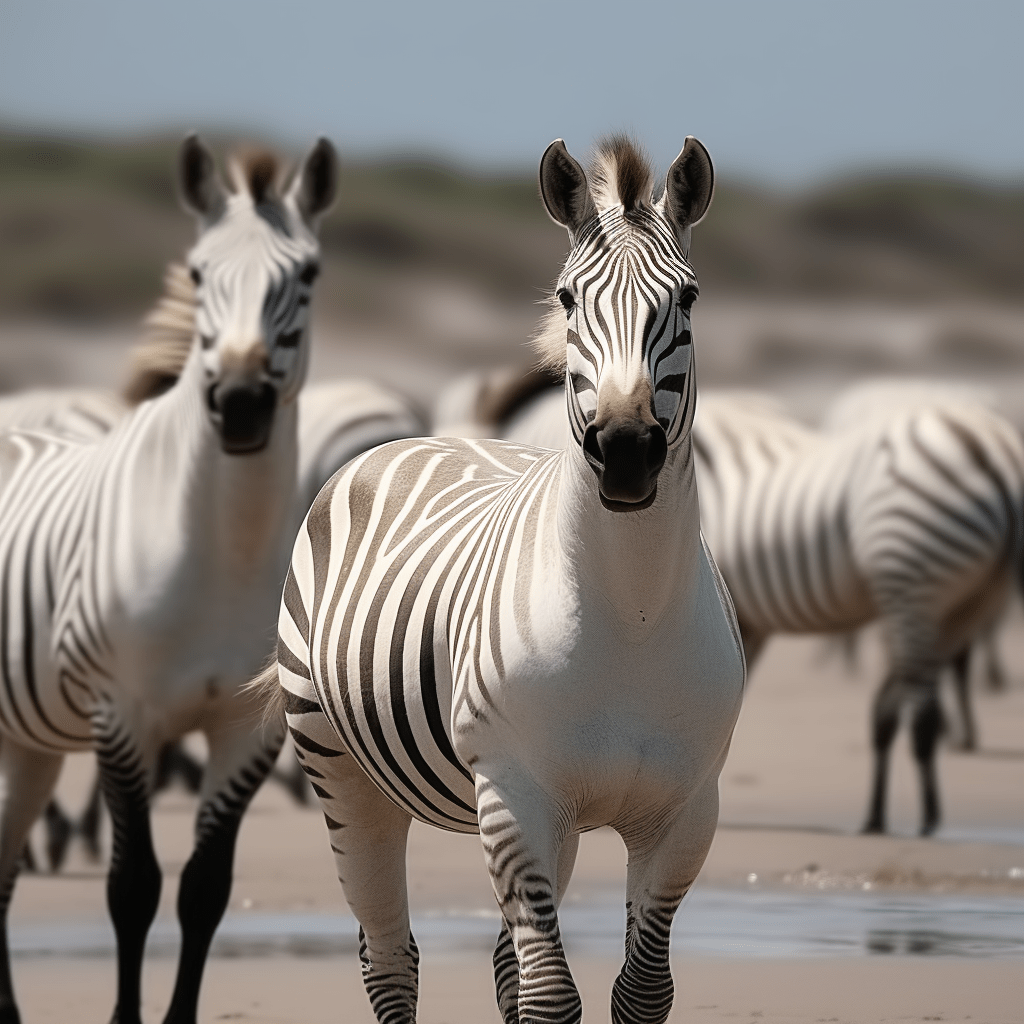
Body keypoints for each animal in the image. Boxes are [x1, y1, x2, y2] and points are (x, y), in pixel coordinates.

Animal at [0, 134, 336, 1024]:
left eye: (309, 274)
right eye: (196, 271)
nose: (243, 403)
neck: (221, 550)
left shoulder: (245, 729)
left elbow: (203, 890)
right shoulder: (123, 715)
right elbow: (133, 887)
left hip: (28, 739)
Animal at [259, 135, 745, 1024]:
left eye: (688, 299)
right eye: (567, 297)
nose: (626, 452)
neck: (632, 614)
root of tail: (423, 435)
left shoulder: (687, 810)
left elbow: (640, 991)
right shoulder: (518, 795)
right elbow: (552, 998)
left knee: (498, 963)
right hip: (343, 770)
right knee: (389, 957)